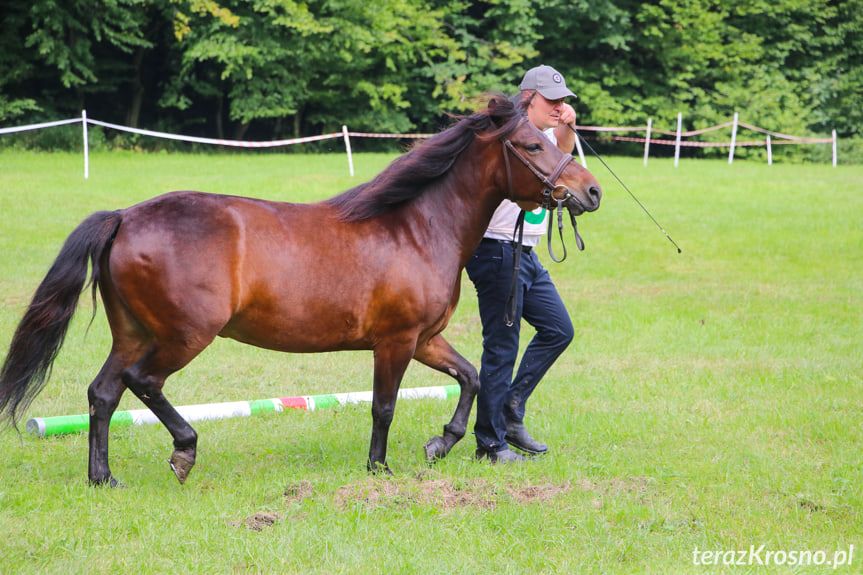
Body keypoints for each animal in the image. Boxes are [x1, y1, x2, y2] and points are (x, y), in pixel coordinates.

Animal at [0, 95, 600, 486]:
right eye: (531, 144)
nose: (590, 191)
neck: (415, 227)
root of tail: (124, 216)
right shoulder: (396, 341)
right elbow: (384, 405)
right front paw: (379, 466)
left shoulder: (426, 339)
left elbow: (471, 377)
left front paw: (440, 443)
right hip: (184, 335)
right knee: (141, 382)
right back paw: (184, 453)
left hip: (133, 332)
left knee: (103, 393)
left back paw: (102, 478)